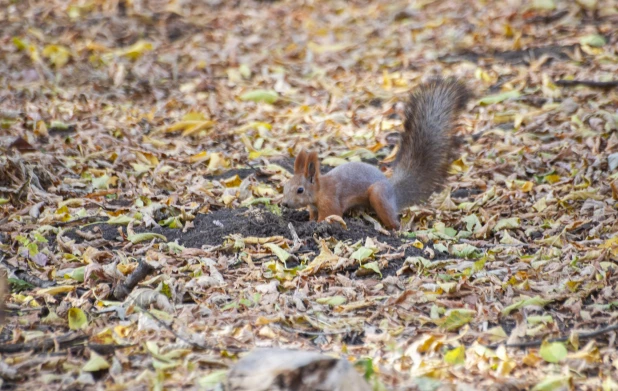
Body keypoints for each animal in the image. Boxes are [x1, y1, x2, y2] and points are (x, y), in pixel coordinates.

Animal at [282, 78, 470, 231]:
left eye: (300, 190)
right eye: (285, 185)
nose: (284, 203)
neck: (319, 190)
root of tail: (393, 193)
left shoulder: (330, 202)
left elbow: (329, 216)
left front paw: (317, 226)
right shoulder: (313, 207)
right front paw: (308, 222)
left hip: (378, 195)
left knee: (393, 220)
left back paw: (394, 230)